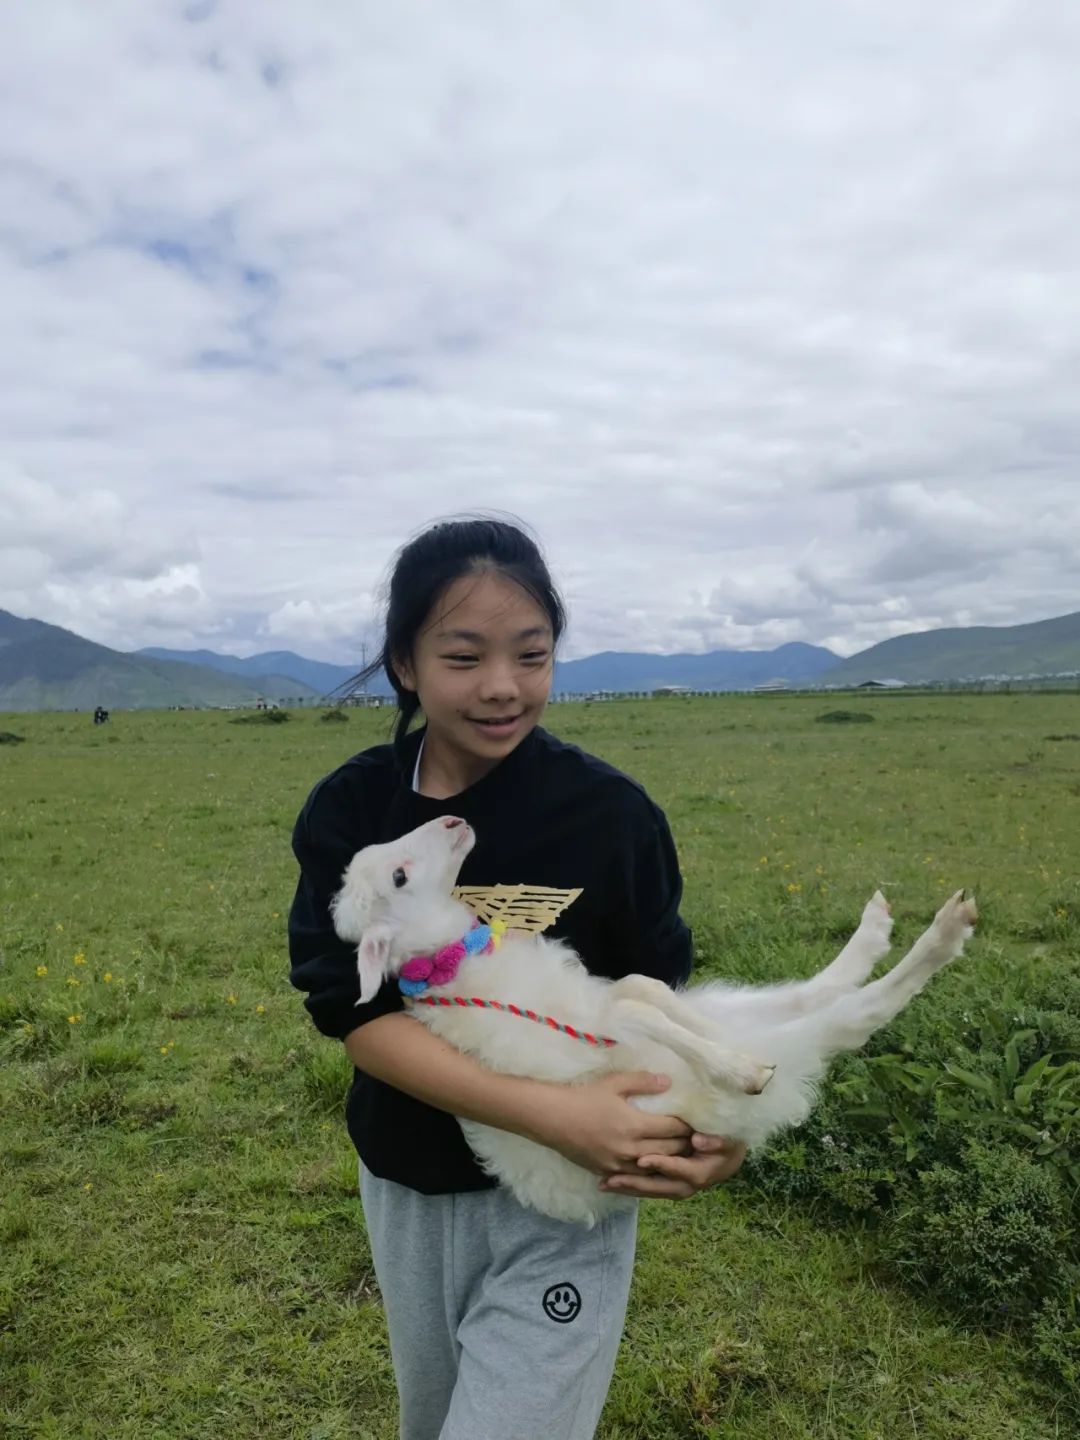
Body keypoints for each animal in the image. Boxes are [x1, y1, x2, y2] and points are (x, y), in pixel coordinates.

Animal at [332, 817, 979, 1221]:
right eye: (398, 877)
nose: (451, 821)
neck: (459, 961)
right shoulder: (586, 1045)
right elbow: (633, 1008)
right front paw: (733, 1065)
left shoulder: (598, 998)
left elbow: (640, 988)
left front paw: (718, 1045)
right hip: (745, 1076)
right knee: (854, 1013)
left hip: (747, 1012)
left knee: (808, 994)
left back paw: (878, 932)